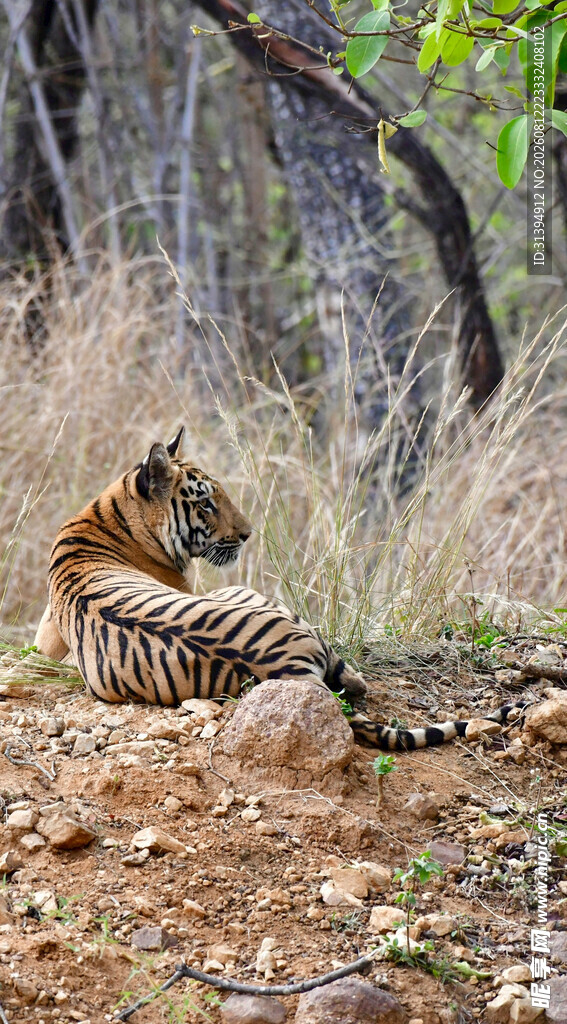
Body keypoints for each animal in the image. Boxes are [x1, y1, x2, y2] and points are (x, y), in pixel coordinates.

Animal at [35, 428, 526, 751]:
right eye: (206, 502)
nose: (248, 533)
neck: (108, 516)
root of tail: (288, 667)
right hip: (257, 599)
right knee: (355, 680)